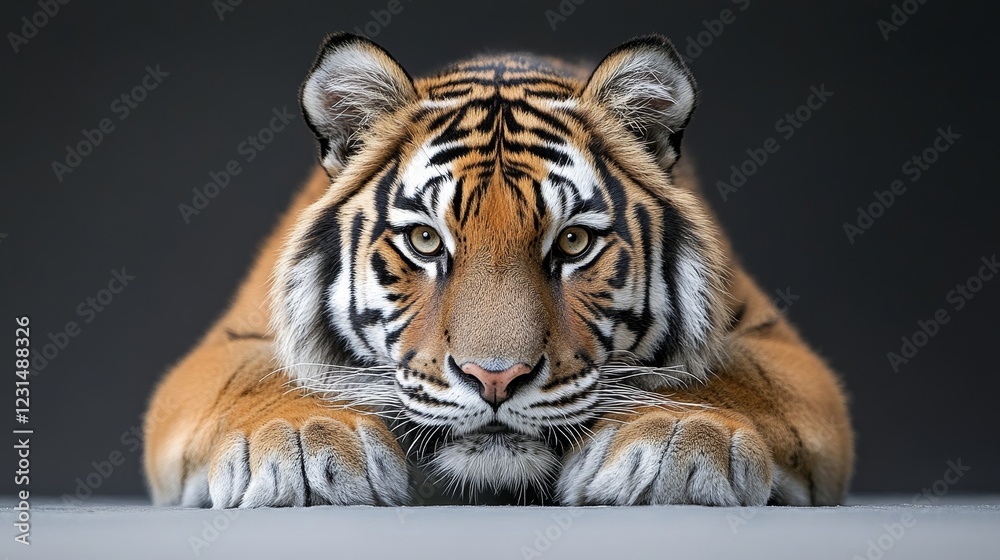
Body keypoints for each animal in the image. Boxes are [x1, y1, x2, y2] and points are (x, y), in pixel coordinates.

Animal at [143, 33, 853, 508]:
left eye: (572, 243)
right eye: (425, 240)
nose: (495, 379)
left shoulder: (785, 352)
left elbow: (733, 378)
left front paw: (675, 440)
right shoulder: (218, 350)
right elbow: (257, 378)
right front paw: (301, 442)